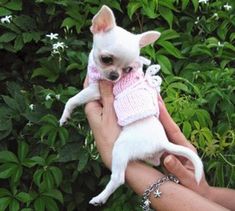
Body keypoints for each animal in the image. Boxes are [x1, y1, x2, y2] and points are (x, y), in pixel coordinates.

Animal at [59, 5, 204, 206]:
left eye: (128, 69)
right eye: (106, 59)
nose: (114, 76)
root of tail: (162, 141)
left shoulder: (95, 89)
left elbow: (73, 99)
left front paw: (65, 116)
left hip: (120, 148)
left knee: (118, 178)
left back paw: (100, 198)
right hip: (149, 154)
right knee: (155, 161)